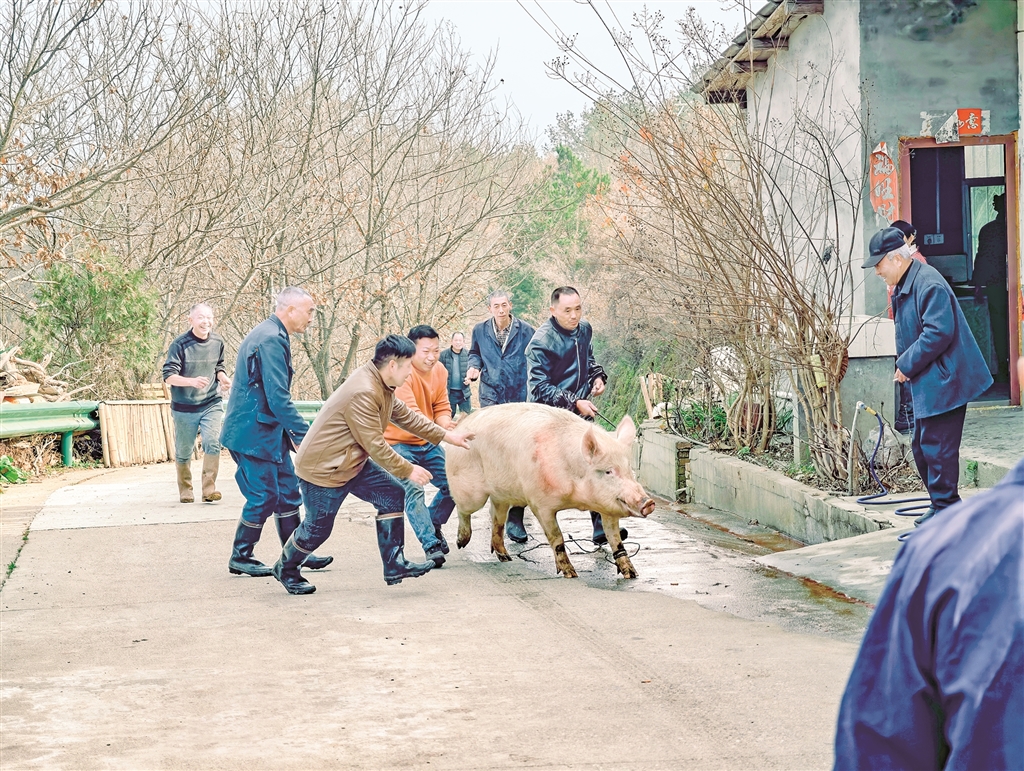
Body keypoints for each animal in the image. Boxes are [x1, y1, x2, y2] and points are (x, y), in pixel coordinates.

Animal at [445, 402, 656, 579]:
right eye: (608, 471)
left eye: (630, 469)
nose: (649, 502)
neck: (577, 497)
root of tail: (461, 423)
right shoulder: (540, 503)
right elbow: (556, 537)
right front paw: (571, 574)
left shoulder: (608, 507)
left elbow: (615, 539)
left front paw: (632, 574)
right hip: (471, 491)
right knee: (462, 507)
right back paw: (461, 543)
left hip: (501, 493)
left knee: (496, 517)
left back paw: (506, 557)